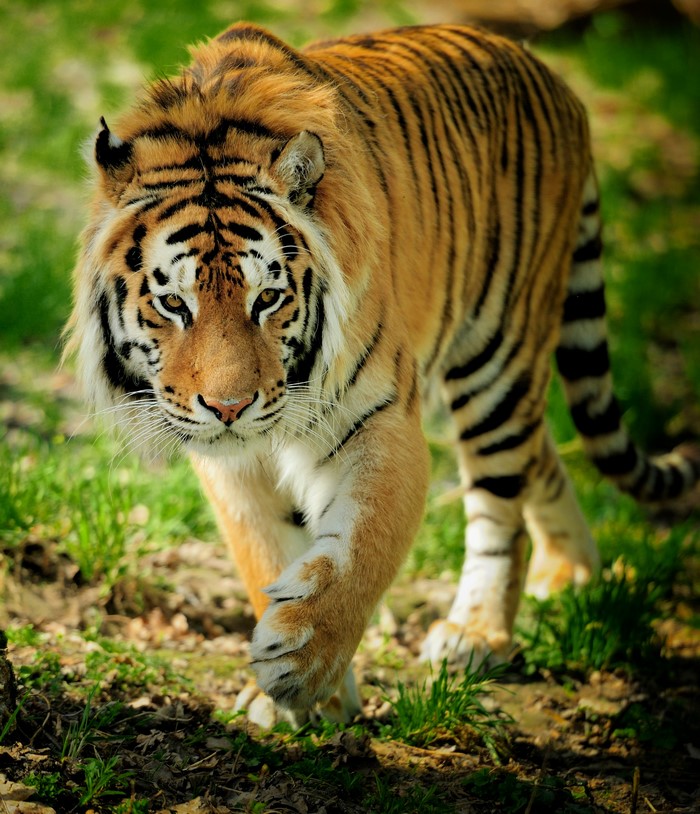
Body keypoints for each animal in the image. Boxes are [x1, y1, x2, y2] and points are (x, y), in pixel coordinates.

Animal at [65, 21, 700, 726]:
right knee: (541, 456)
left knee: (500, 501)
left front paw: (302, 663)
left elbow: (363, 545)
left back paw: (478, 632)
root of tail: (553, 77)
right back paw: (571, 573)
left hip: (499, 359)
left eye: (268, 299)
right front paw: (292, 697)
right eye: (174, 303)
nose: (229, 407)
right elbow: (266, 550)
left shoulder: (380, 419)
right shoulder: (231, 462)